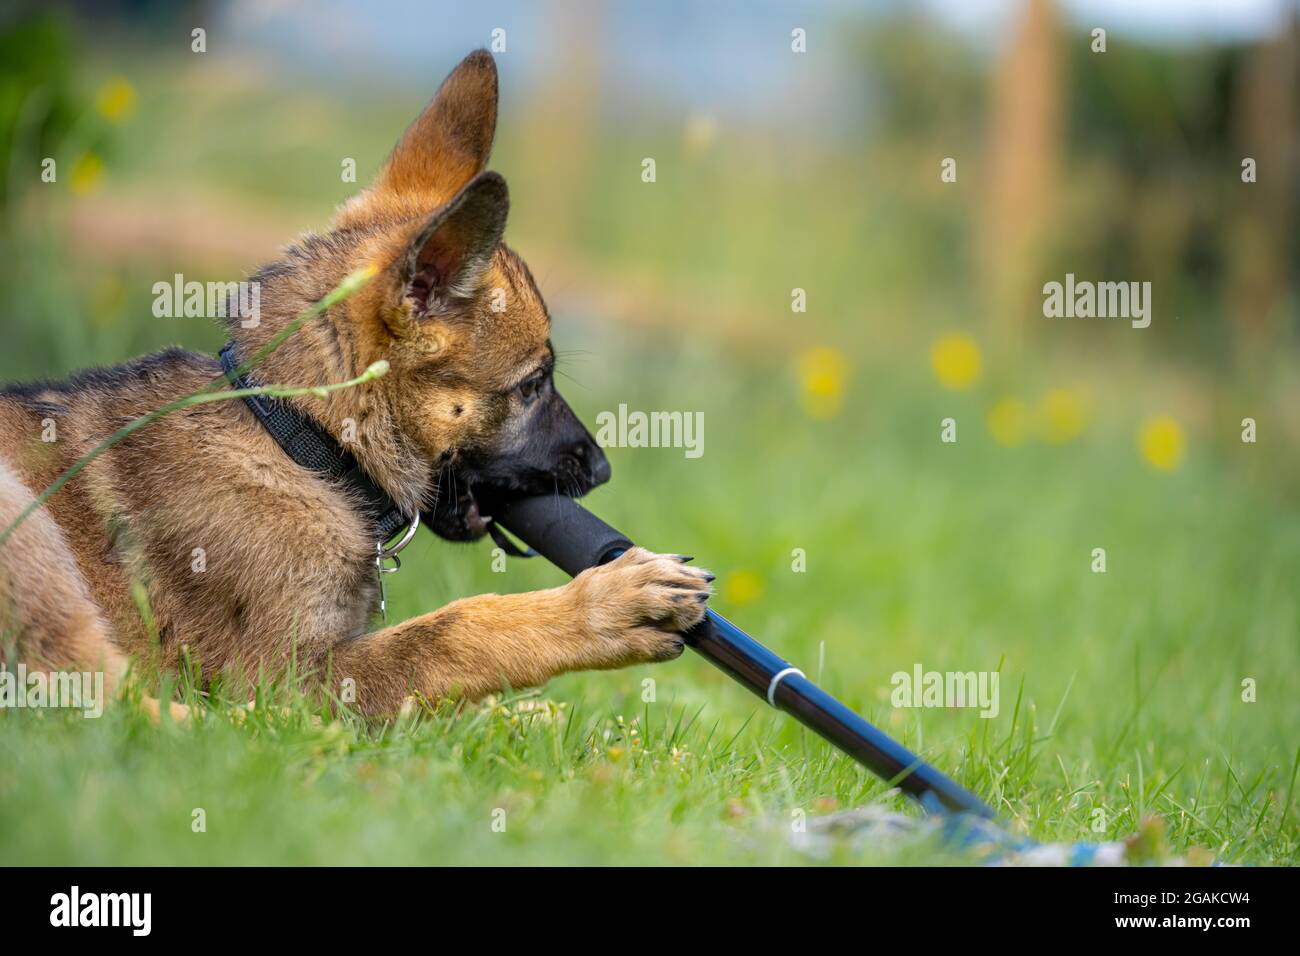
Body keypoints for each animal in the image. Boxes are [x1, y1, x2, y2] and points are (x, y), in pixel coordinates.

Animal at [0, 46, 712, 717]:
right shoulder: (285, 682)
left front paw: (521, 718)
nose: (602, 470)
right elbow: (450, 631)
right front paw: (605, 606)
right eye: (533, 385)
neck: (297, 440)